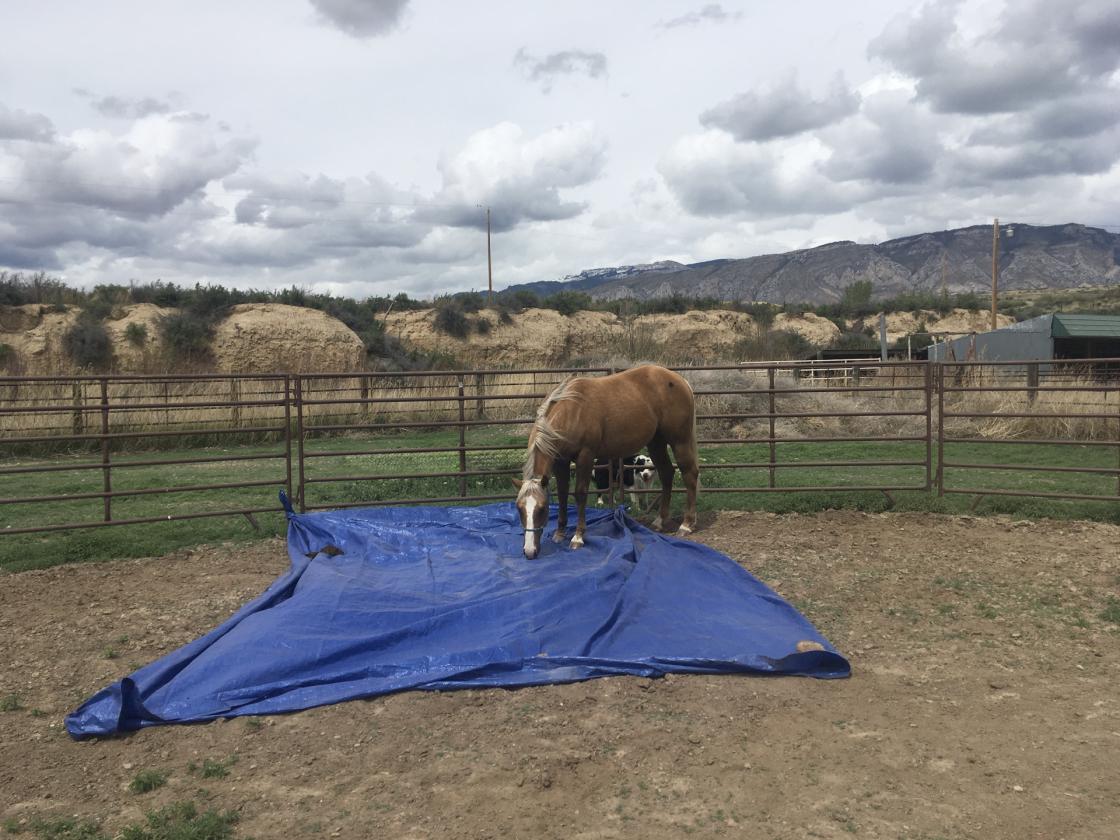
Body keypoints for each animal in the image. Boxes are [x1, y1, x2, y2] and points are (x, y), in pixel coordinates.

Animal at [513, 364, 700, 559]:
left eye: (542, 509)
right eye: (519, 508)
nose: (529, 552)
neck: (571, 411)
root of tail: (679, 379)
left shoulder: (586, 456)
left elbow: (580, 493)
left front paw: (578, 537)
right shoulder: (560, 461)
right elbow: (563, 494)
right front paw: (560, 533)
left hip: (680, 441)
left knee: (690, 475)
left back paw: (686, 524)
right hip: (656, 442)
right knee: (666, 474)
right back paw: (660, 521)